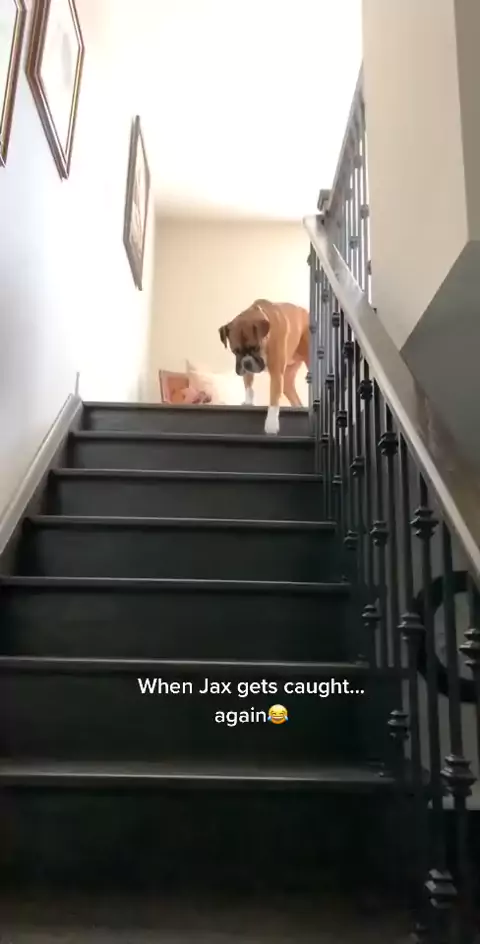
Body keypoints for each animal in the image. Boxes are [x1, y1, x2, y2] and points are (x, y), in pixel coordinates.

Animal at [219, 299, 309, 434]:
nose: (246, 362)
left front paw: (271, 423)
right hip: (287, 381)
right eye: (235, 351)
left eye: (256, 347)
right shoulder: (248, 372)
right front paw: (248, 403)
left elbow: (273, 399)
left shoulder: (276, 375)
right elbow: (249, 387)